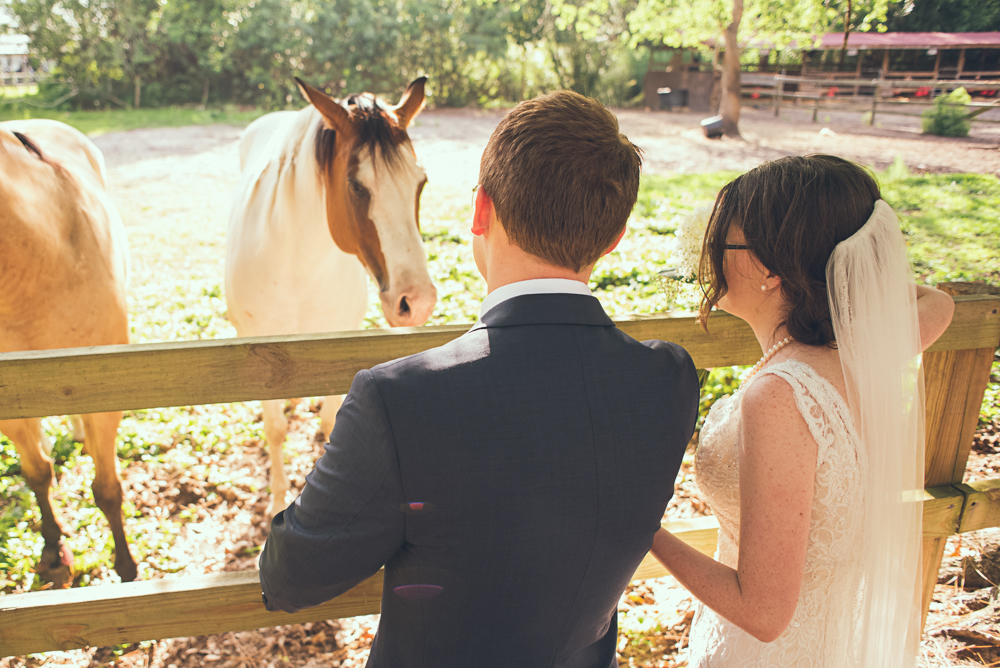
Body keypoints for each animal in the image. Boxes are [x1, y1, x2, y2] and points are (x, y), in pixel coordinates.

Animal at [228, 78, 438, 516]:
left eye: (420, 182)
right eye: (357, 186)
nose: (417, 302)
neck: (299, 273)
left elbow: (329, 425)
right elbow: (275, 429)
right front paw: (278, 500)